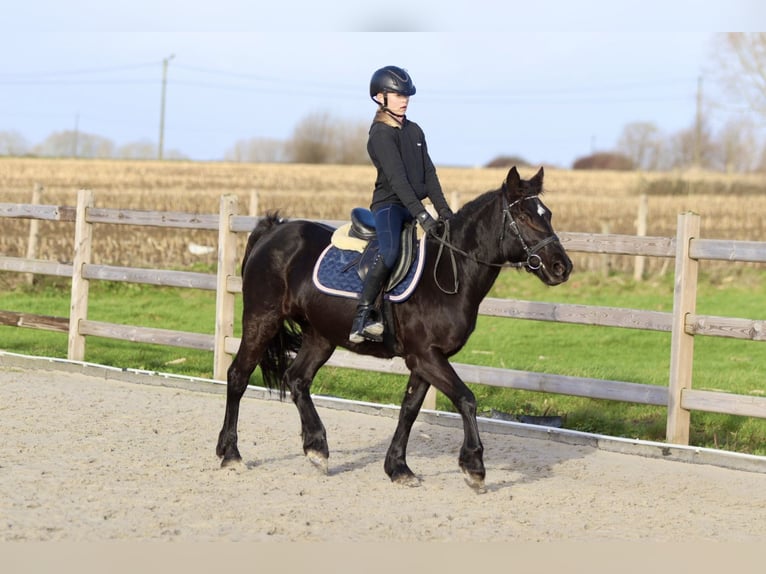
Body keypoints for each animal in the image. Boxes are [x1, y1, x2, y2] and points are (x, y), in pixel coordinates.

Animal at [219, 165, 572, 490]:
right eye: (524, 216)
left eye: (548, 214)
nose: (562, 267)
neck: (448, 273)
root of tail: (273, 232)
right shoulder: (426, 355)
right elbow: (466, 399)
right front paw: (474, 467)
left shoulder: (426, 359)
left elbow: (409, 409)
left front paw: (399, 468)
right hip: (262, 319)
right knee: (238, 376)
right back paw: (230, 454)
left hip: (320, 336)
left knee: (297, 378)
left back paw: (316, 448)